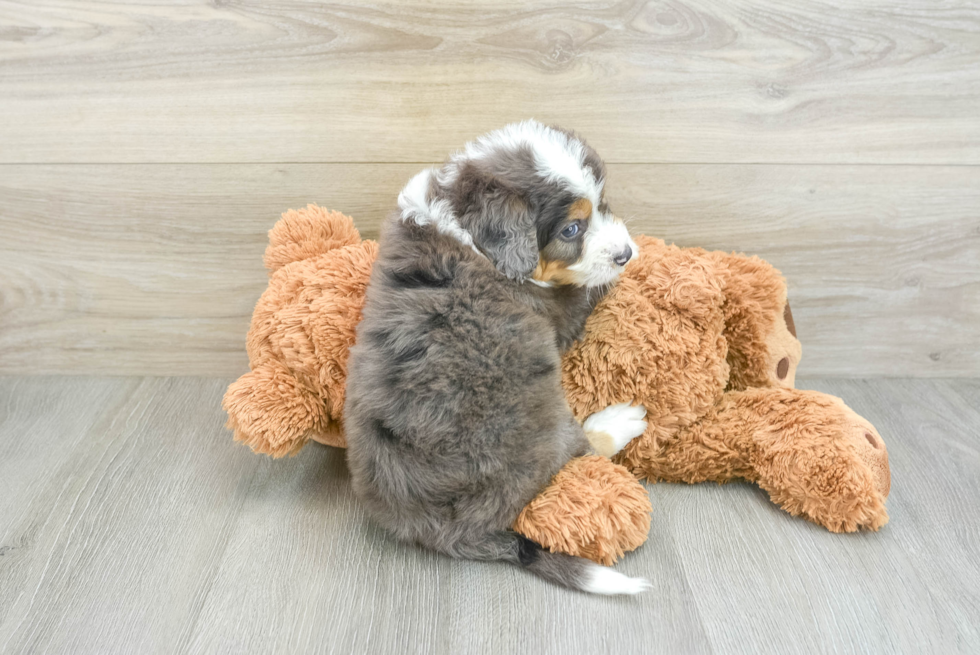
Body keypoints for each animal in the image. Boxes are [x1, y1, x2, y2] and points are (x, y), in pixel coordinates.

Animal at [344, 120, 652, 596]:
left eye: (603, 204)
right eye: (572, 230)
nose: (626, 253)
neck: (464, 228)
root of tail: (431, 529)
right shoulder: (557, 312)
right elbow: (589, 291)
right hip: (541, 433)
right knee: (579, 449)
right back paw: (617, 423)